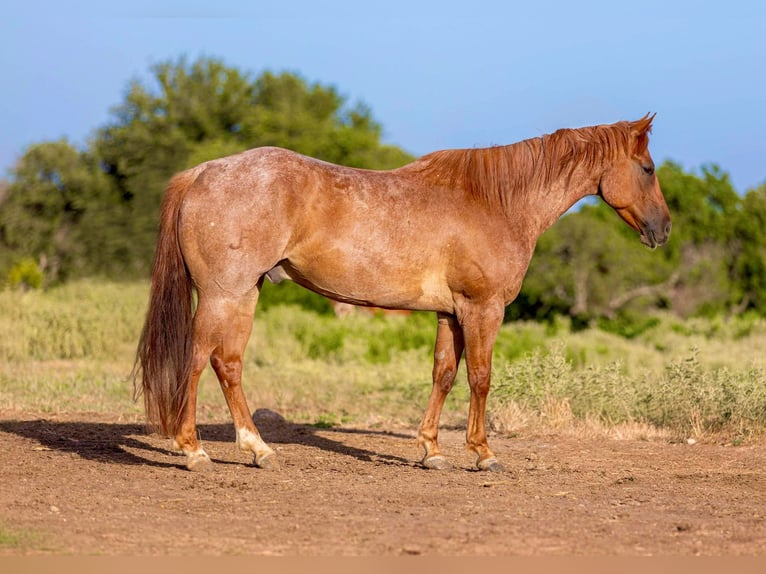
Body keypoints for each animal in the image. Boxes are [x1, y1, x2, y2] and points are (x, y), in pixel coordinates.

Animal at [133, 114, 671, 473]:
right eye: (647, 168)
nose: (663, 229)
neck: (496, 202)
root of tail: (203, 172)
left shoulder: (450, 313)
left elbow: (443, 375)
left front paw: (431, 451)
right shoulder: (483, 310)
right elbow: (480, 378)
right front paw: (483, 454)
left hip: (244, 295)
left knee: (228, 365)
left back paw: (258, 449)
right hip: (223, 295)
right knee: (197, 361)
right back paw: (193, 450)